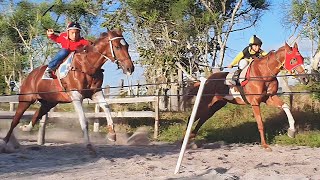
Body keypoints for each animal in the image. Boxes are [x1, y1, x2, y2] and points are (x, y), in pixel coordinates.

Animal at [2, 29, 134, 153]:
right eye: (117, 46)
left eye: (127, 46)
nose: (130, 68)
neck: (85, 66)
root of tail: (31, 76)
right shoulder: (76, 97)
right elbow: (83, 121)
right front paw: (89, 145)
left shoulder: (96, 93)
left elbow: (106, 108)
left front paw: (112, 134)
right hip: (26, 100)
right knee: (15, 121)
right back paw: (5, 143)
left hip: (49, 102)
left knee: (36, 114)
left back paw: (26, 128)